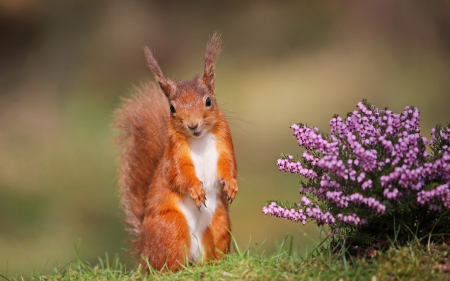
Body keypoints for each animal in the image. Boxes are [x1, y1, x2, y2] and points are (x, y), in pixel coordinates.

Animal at [112, 33, 239, 272]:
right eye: (172, 108)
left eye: (208, 101)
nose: (193, 125)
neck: (199, 140)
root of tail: (144, 250)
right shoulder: (174, 154)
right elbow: (179, 174)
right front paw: (196, 190)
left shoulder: (225, 144)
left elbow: (228, 165)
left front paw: (231, 185)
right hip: (171, 227)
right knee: (168, 264)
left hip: (219, 224)